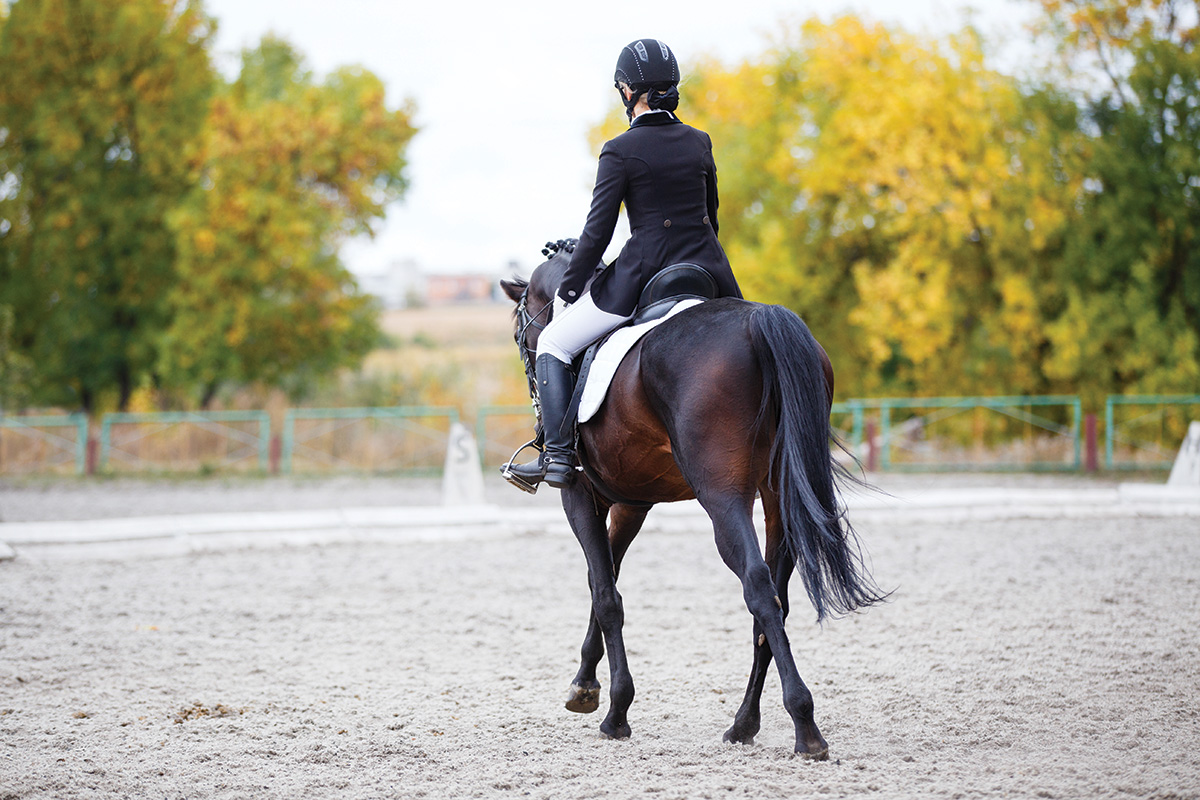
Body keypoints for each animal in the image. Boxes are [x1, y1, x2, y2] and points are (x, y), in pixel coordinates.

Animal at [501, 247, 888, 762]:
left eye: (520, 326)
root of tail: (759, 320)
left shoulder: (579, 494)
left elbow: (605, 594)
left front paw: (615, 712)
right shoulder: (633, 503)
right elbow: (604, 579)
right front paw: (584, 686)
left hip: (722, 498)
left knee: (758, 588)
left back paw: (805, 727)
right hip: (778, 500)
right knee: (776, 602)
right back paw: (744, 724)